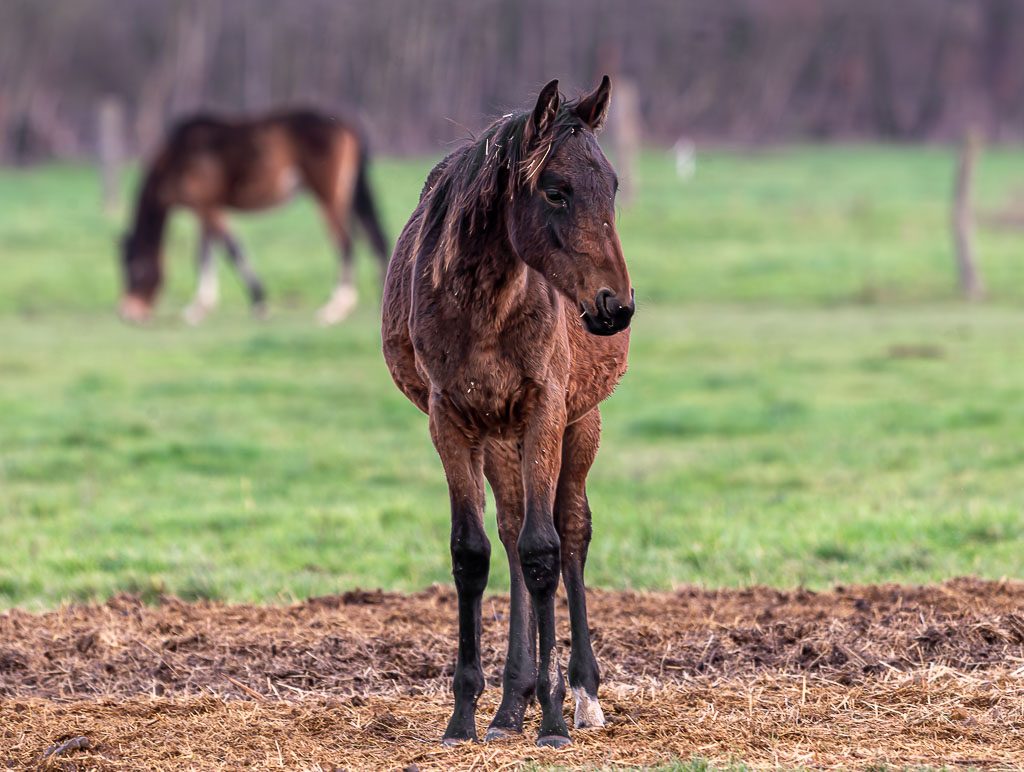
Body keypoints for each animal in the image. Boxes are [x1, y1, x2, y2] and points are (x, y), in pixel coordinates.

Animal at [119, 109, 389, 325]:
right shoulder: (205, 210)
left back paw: (336, 307)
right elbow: (205, 255)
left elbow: (231, 250)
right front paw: (199, 307)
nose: (128, 312)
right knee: (372, 238)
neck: (179, 156)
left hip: (327, 196)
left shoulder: (208, 207)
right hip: (347, 196)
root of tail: (346, 126)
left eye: (136, 269)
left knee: (345, 242)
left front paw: (259, 301)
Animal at [382, 76, 634, 747]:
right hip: (499, 435)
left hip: (580, 423)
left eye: (613, 186)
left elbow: (545, 551)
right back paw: (509, 705)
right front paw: (465, 716)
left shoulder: (547, 408)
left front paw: (554, 719)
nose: (617, 305)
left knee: (569, 532)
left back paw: (579, 694)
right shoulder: (449, 419)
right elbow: (473, 554)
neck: (485, 304)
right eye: (556, 190)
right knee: (513, 526)